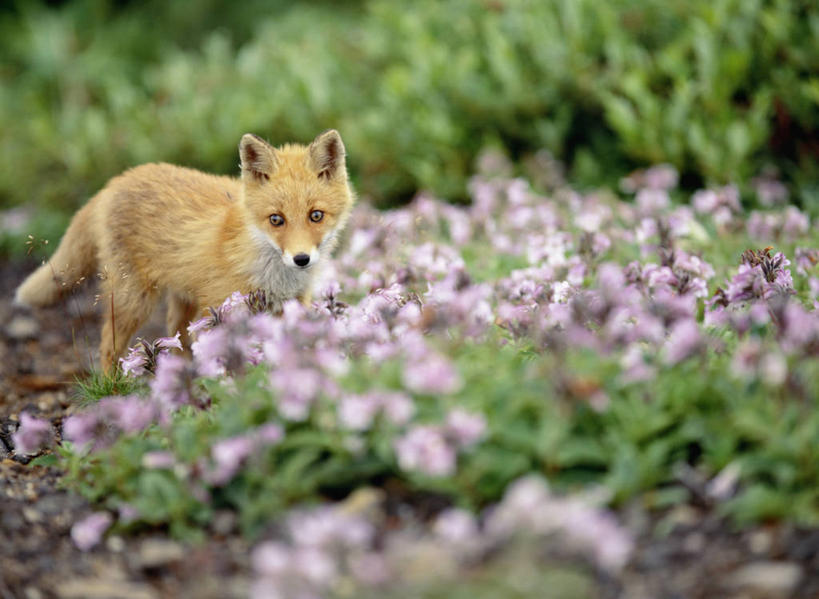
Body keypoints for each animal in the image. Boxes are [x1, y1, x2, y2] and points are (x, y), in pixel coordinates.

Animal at [12, 131, 352, 372]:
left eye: (316, 216)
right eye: (276, 219)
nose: (301, 259)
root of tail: (114, 182)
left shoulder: (293, 304)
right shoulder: (220, 308)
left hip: (182, 300)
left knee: (177, 339)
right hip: (134, 301)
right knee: (108, 348)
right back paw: (114, 394)